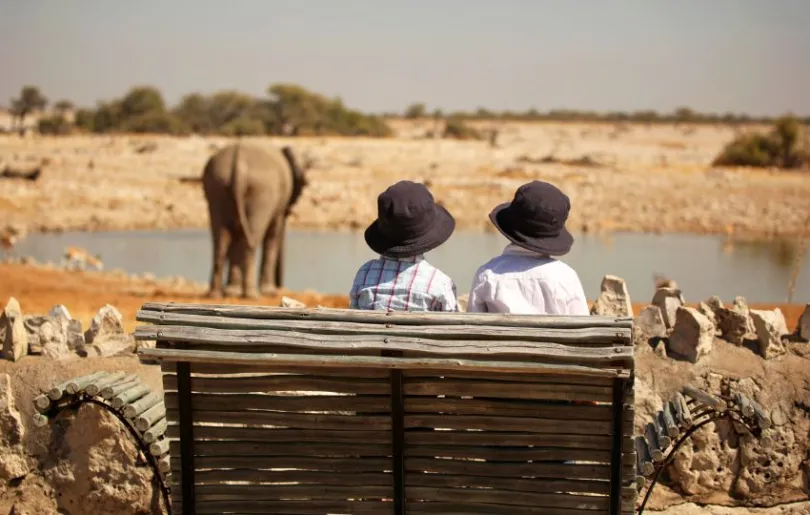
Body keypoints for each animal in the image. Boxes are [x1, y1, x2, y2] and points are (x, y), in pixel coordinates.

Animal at [200, 143, 308, 300]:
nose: (279, 288)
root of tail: (238, 163)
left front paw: (232, 291)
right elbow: (273, 235)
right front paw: (268, 292)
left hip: (216, 185)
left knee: (221, 241)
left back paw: (216, 294)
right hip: (261, 193)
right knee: (250, 240)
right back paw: (252, 295)